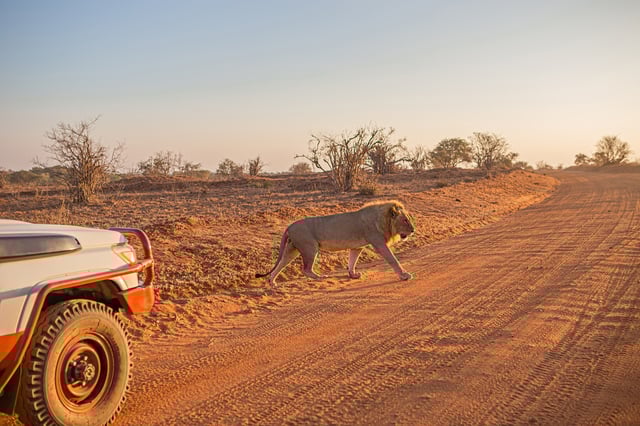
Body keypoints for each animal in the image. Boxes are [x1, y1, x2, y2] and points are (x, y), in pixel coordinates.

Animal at [255, 200, 415, 285]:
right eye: (405, 220)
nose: (413, 230)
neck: (383, 220)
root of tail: (289, 226)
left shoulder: (357, 247)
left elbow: (352, 261)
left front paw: (353, 274)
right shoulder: (379, 243)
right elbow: (393, 260)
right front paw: (404, 275)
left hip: (292, 249)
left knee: (281, 264)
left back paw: (272, 282)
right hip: (310, 248)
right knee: (306, 269)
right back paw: (320, 277)